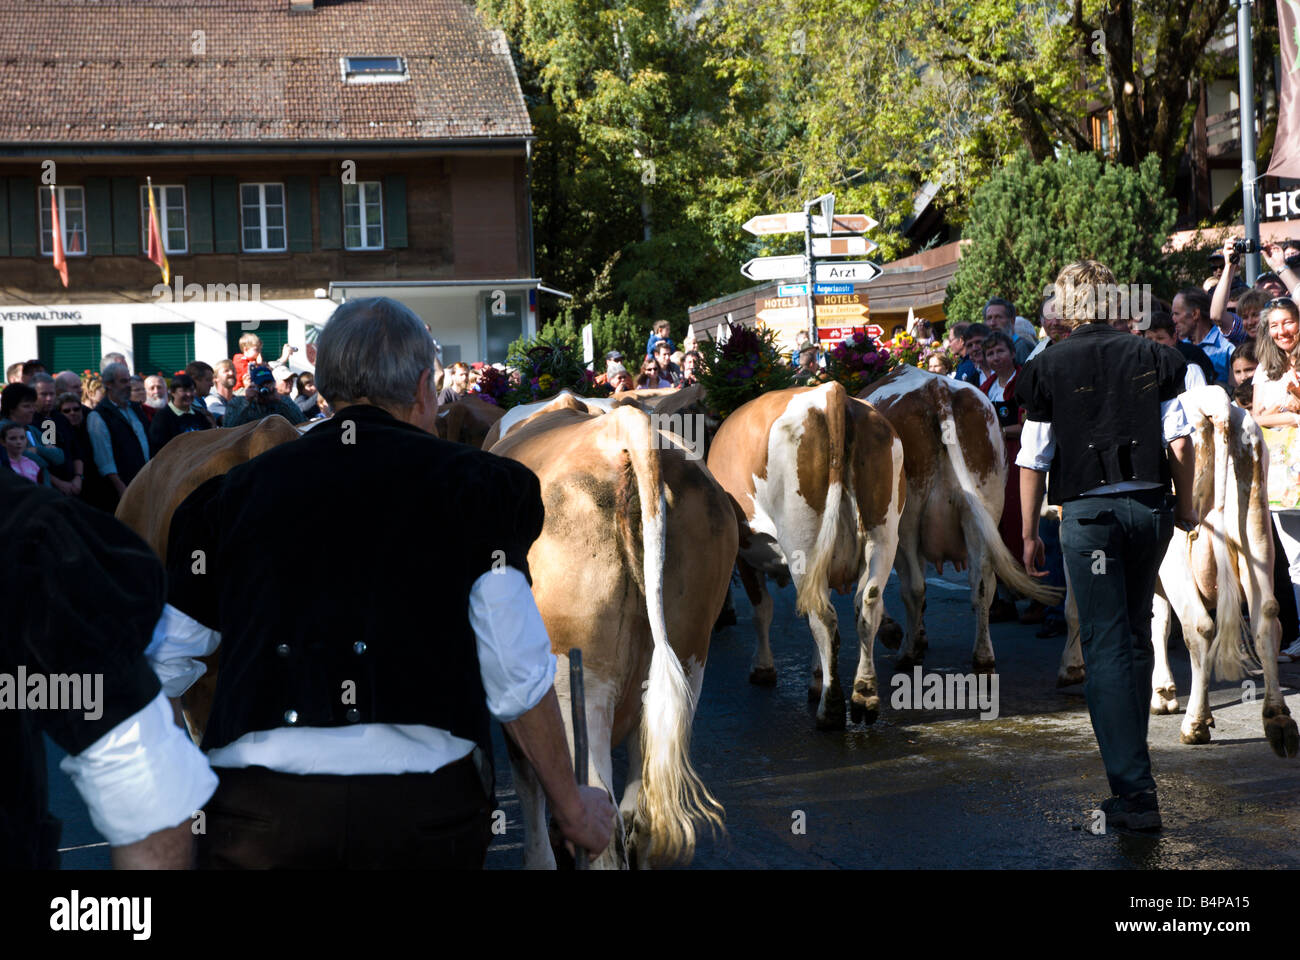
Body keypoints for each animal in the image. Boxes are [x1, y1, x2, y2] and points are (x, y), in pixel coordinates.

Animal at [712, 379, 904, 723]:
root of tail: (830, 392)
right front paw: (817, 677)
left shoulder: (745, 554)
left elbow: (763, 610)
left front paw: (763, 668)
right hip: (882, 535)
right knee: (867, 603)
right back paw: (864, 695)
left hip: (803, 542)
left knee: (823, 615)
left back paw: (831, 709)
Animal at [857, 361, 1060, 671]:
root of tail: (936, 387)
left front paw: (897, 634)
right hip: (982, 509)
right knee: (982, 584)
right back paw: (983, 656)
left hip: (906, 523)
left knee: (914, 588)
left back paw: (907, 654)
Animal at [1055, 382, 1300, 754]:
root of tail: (1215, 402)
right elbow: (1157, 622)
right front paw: (1163, 692)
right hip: (1256, 536)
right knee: (1267, 618)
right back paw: (1278, 720)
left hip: (1178, 556)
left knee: (1200, 627)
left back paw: (1195, 725)